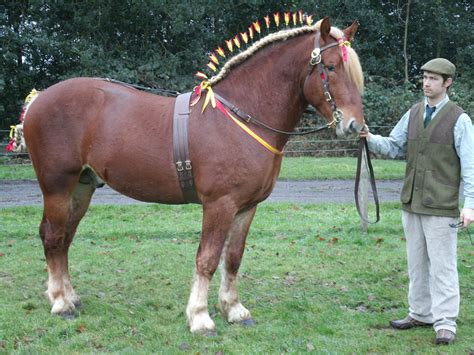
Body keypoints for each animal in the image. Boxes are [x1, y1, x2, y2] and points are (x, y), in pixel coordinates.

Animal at [23, 18, 366, 336]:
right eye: (331, 67)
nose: (354, 125)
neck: (240, 117)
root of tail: (39, 100)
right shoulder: (219, 205)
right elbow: (208, 259)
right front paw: (200, 317)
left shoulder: (246, 207)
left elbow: (233, 257)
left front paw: (234, 309)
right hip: (57, 188)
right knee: (53, 238)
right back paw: (61, 303)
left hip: (81, 188)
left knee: (64, 239)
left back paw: (69, 296)